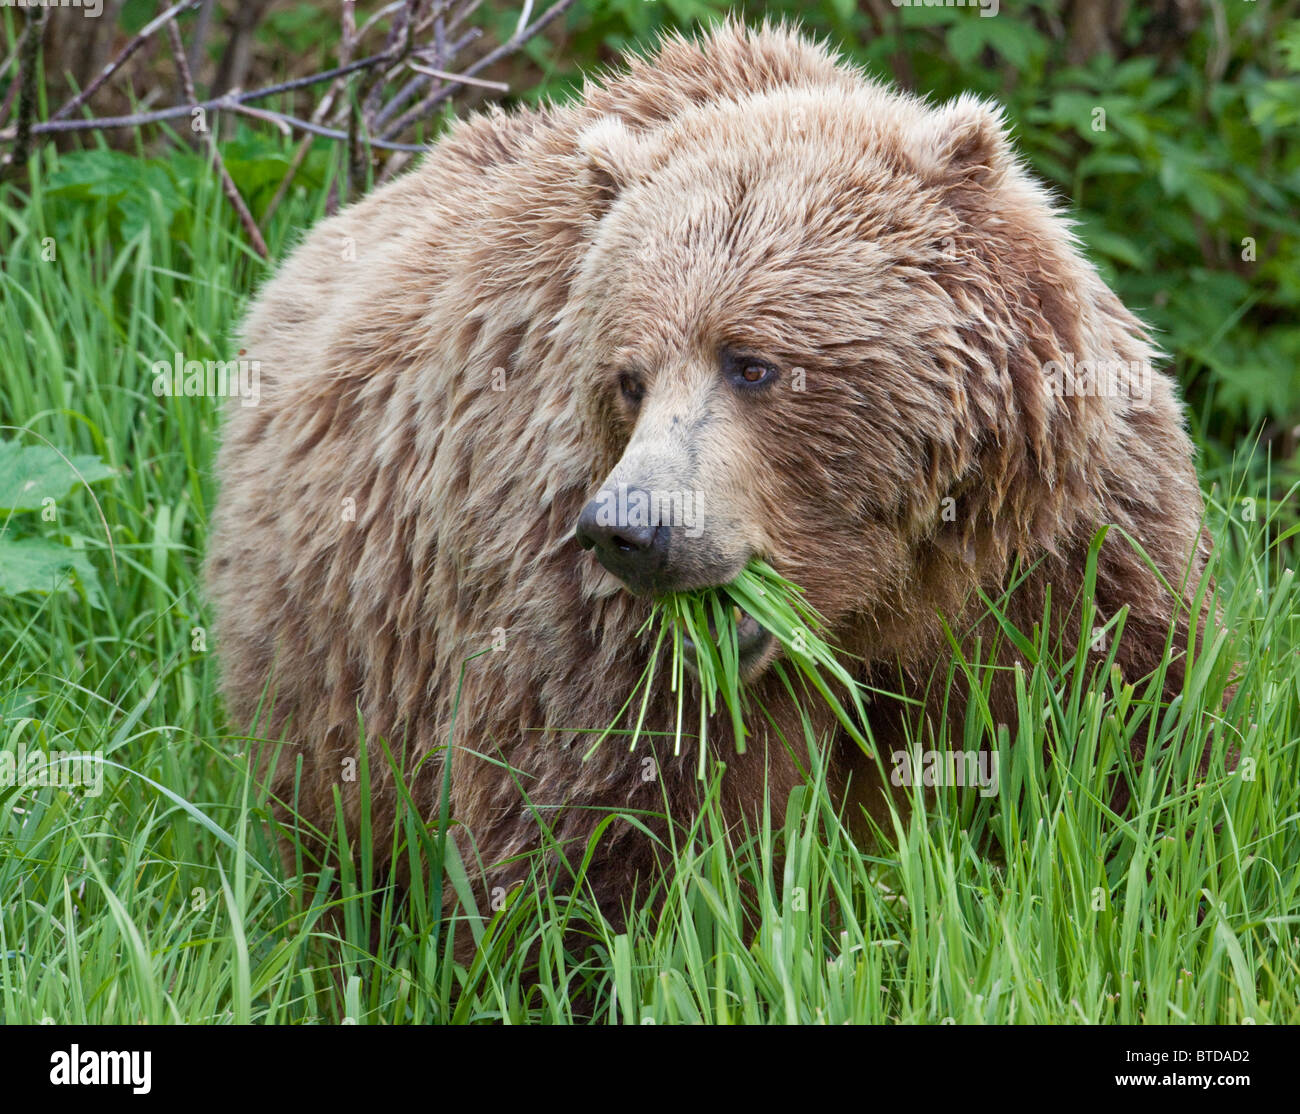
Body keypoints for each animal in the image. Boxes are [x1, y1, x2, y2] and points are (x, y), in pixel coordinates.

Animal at [208, 17, 1211, 941]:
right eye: (629, 377)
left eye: (752, 363)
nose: (628, 529)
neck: (877, 599)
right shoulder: (593, 631)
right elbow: (589, 846)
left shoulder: (1057, 552)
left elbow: (1132, 744)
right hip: (330, 681)